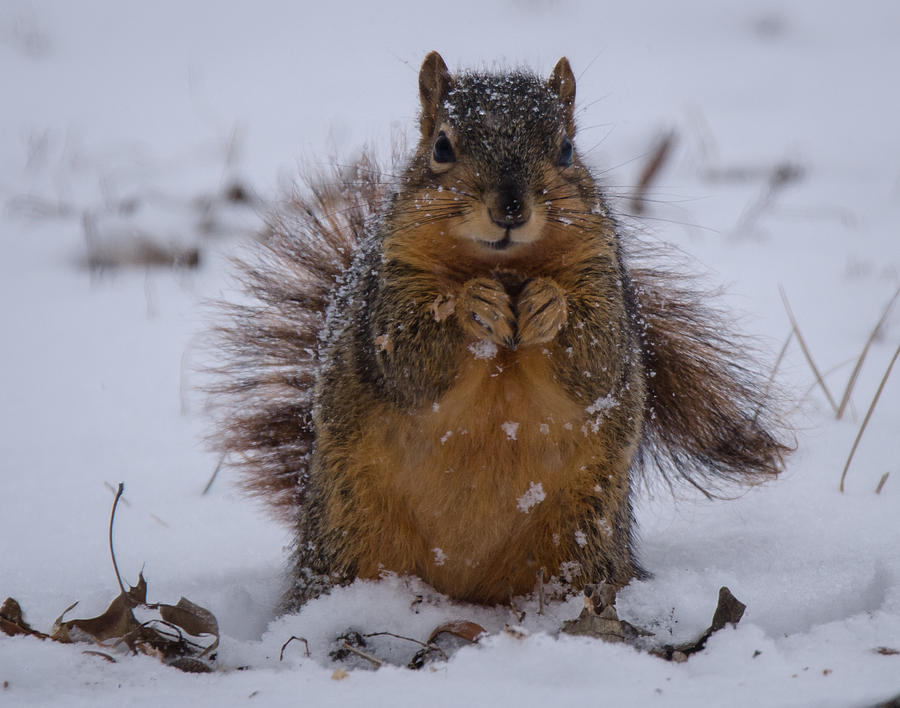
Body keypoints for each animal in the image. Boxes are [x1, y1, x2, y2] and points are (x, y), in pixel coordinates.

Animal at [211, 52, 788, 612]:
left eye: (567, 149)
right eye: (441, 146)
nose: (510, 207)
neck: (505, 266)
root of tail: (465, 591)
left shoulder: (603, 278)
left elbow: (600, 356)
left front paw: (547, 305)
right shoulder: (388, 288)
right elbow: (405, 357)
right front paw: (474, 304)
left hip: (585, 532)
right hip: (348, 529)